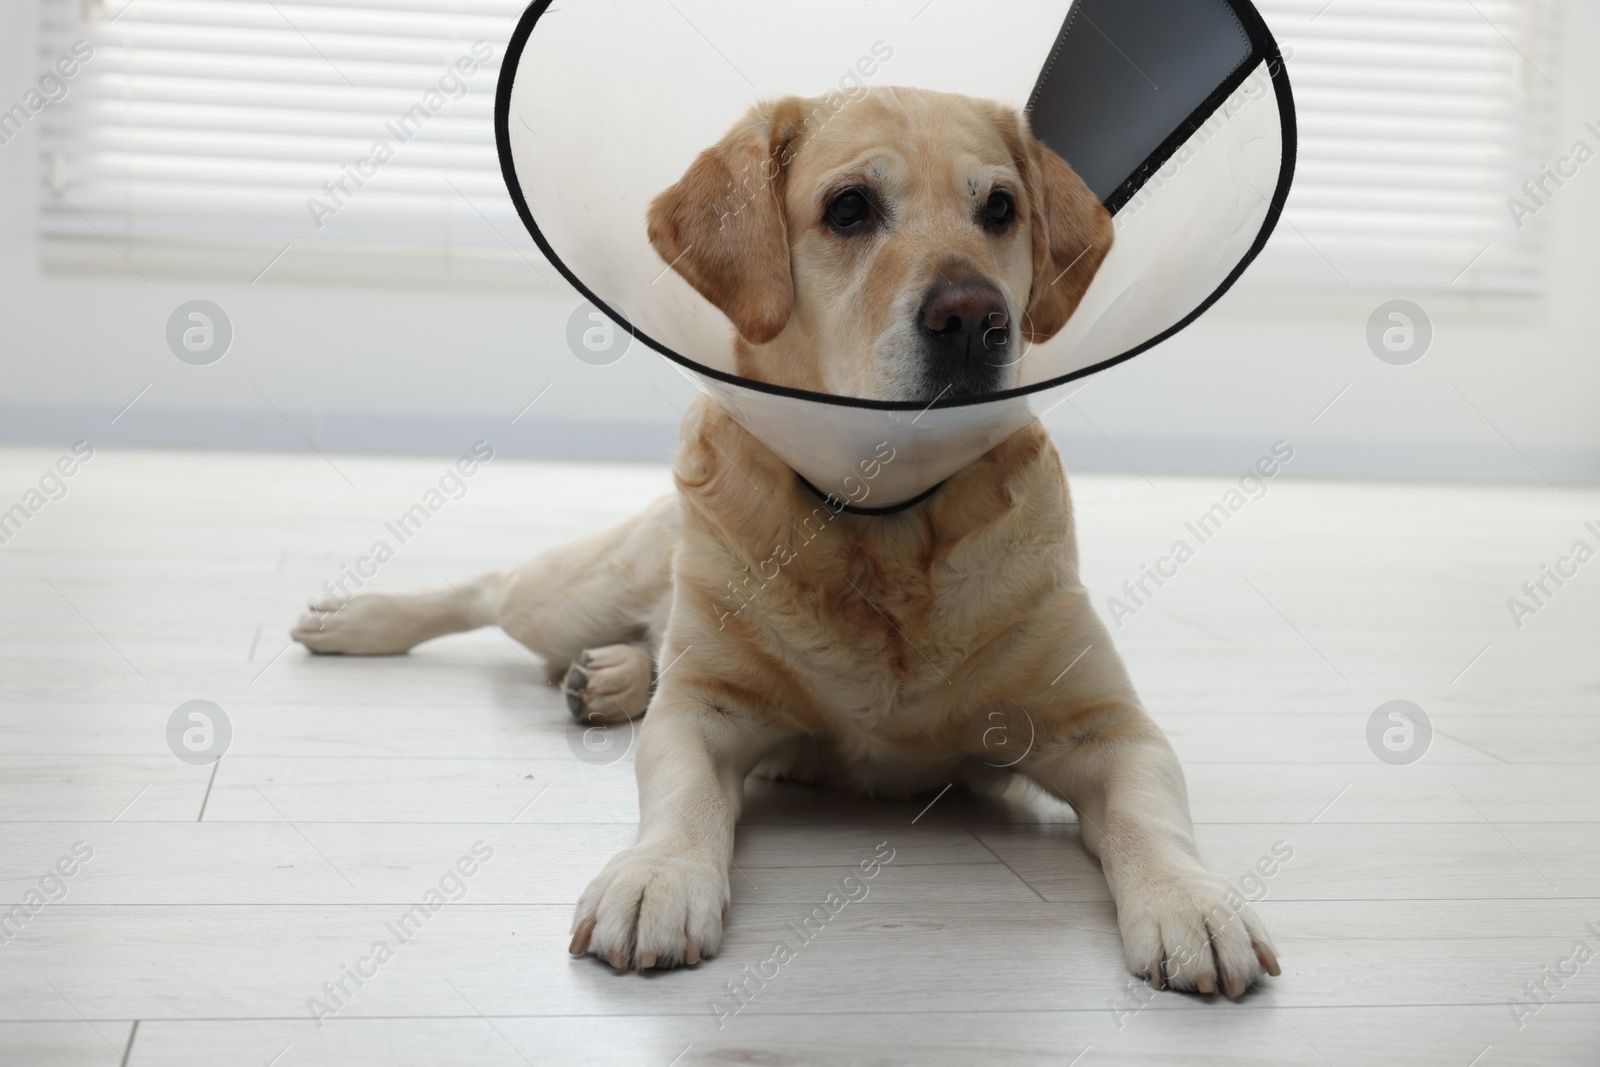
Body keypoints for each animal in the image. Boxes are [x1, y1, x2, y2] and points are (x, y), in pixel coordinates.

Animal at [294, 87, 1280, 998]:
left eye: (1000, 208)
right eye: (849, 208)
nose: (976, 318)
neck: (883, 524)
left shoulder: (1110, 728)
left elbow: (1153, 819)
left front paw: (1194, 902)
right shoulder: (701, 717)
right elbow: (686, 796)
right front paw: (656, 880)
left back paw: (608, 677)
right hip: (577, 591)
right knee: (495, 588)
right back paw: (361, 620)